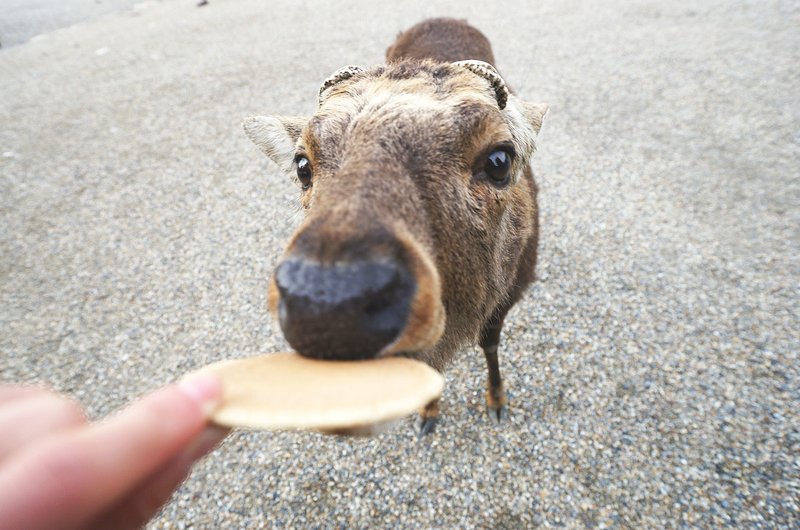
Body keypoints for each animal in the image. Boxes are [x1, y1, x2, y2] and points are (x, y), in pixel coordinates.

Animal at [241, 17, 548, 434]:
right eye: (302, 166)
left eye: (499, 160)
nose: (326, 306)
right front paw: (429, 411)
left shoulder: (509, 292)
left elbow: (490, 343)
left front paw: (496, 401)